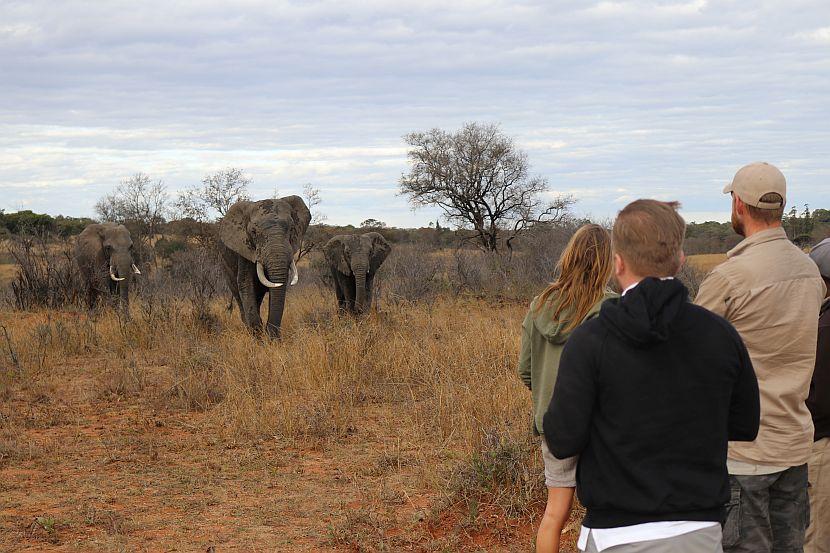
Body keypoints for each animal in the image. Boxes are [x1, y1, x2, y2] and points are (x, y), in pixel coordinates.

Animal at [218, 196, 312, 338]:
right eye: (253, 232)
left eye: (291, 229)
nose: (272, 337)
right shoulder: (244, 250)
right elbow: (246, 284)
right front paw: (258, 338)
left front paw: (272, 339)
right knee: (239, 296)